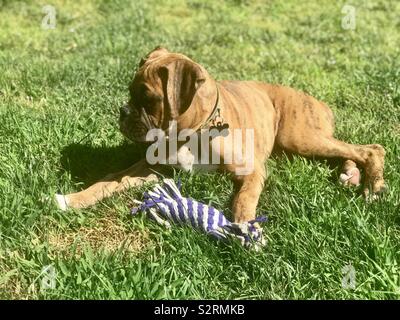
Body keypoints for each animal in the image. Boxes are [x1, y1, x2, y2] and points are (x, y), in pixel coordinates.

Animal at [55, 47, 384, 222]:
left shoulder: (252, 170)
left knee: (371, 149)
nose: (123, 111)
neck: (190, 134)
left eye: (148, 99)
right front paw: (72, 199)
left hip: (299, 136)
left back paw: (372, 185)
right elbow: (109, 180)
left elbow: (244, 199)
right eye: (129, 93)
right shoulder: (150, 167)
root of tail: (317, 101)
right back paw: (351, 175)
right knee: (346, 152)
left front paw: (246, 228)